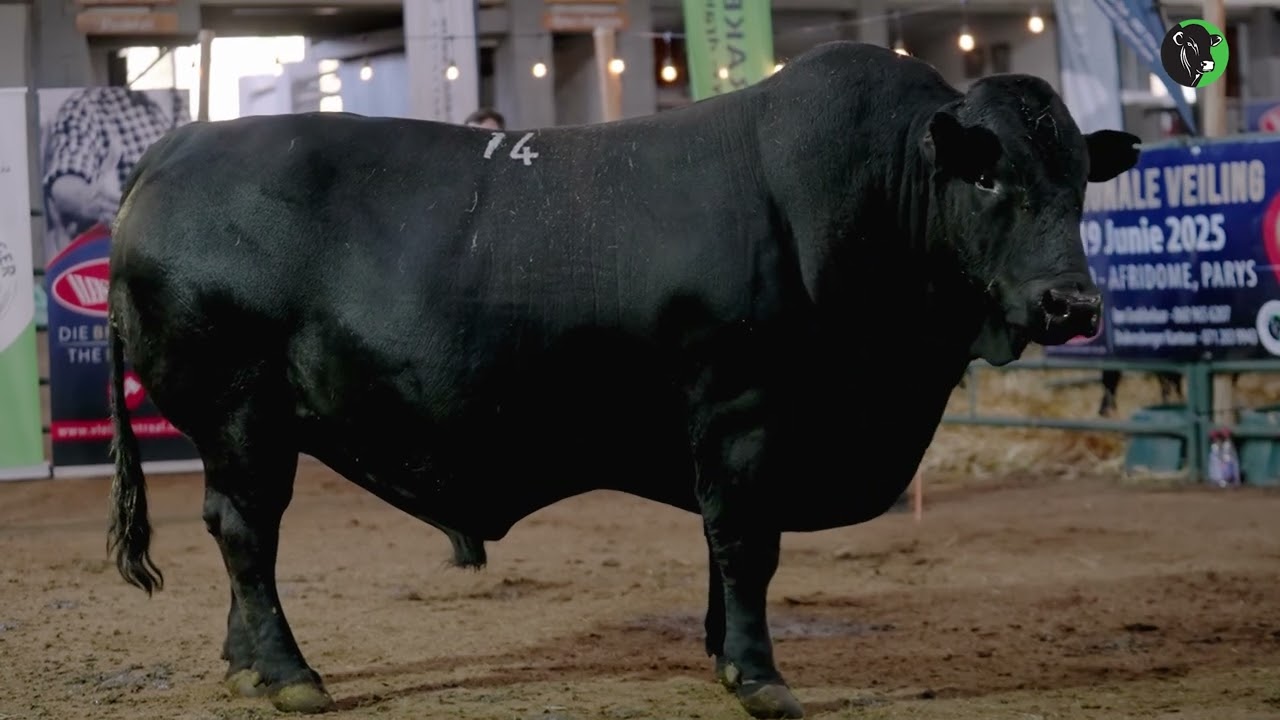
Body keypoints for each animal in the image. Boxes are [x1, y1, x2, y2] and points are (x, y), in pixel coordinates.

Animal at [105, 40, 1140, 719]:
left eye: (1079, 181)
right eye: (989, 178)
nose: (1071, 304)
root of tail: (177, 147)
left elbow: (725, 550)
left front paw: (723, 654)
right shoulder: (744, 414)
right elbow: (747, 546)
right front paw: (760, 677)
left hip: (238, 429)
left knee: (235, 532)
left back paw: (243, 663)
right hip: (241, 410)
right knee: (249, 533)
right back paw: (288, 675)